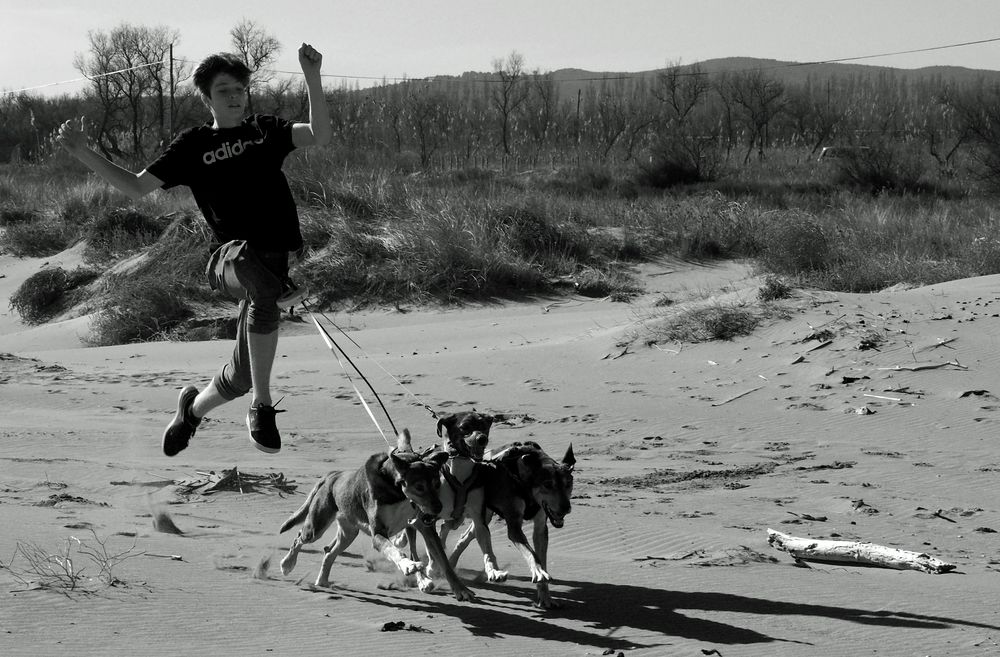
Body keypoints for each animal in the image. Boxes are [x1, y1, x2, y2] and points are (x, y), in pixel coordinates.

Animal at [276, 428, 474, 604]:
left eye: (437, 484)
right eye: (419, 487)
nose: (438, 508)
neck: (398, 492)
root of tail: (333, 475)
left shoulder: (425, 528)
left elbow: (444, 562)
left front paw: (461, 590)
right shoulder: (379, 533)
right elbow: (394, 550)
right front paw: (408, 565)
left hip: (349, 532)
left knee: (329, 552)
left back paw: (322, 580)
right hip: (317, 525)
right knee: (300, 537)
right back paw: (287, 564)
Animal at [442, 438, 576, 608]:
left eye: (569, 483)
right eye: (547, 484)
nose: (566, 508)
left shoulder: (540, 527)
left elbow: (541, 555)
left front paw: (545, 596)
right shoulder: (514, 526)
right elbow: (531, 554)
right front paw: (538, 572)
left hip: (483, 516)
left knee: (466, 536)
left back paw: (450, 564)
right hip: (468, 514)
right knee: (451, 527)